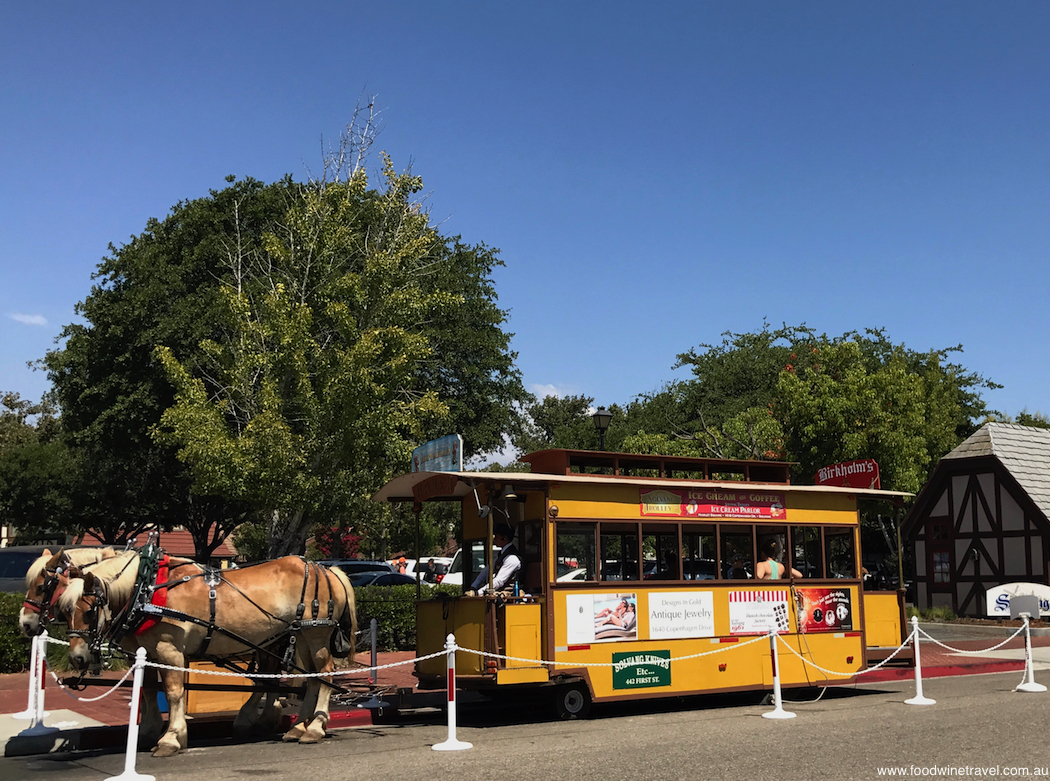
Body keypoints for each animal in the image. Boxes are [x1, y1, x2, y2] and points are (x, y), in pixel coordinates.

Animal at [59, 550, 359, 755]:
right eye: (65, 611)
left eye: (89, 611)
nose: (77, 658)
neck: (147, 589)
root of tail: (327, 569)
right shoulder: (148, 653)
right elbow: (148, 692)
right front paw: (146, 733)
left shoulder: (169, 650)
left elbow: (173, 692)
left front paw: (172, 738)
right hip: (300, 637)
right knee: (309, 677)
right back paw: (297, 727)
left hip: (316, 634)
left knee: (325, 675)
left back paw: (315, 727)